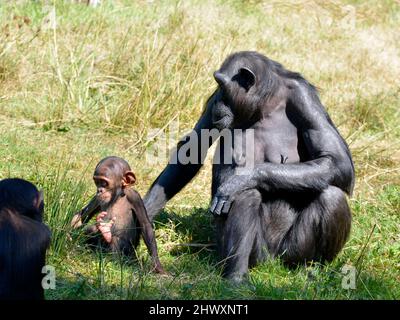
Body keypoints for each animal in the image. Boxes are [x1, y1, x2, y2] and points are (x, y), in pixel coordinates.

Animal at [142, 51, 354, 282]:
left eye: (222, 84)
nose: (218, 97)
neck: (265, 103)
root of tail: (271, 264)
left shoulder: (305, 99)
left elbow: (336, 160)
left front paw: (245, 177)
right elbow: (192, 150)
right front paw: (144, 215)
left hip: (289, 253)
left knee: (332, 197)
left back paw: (311, 268)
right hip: (253, 254)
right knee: (245, 196)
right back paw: (237, 274)